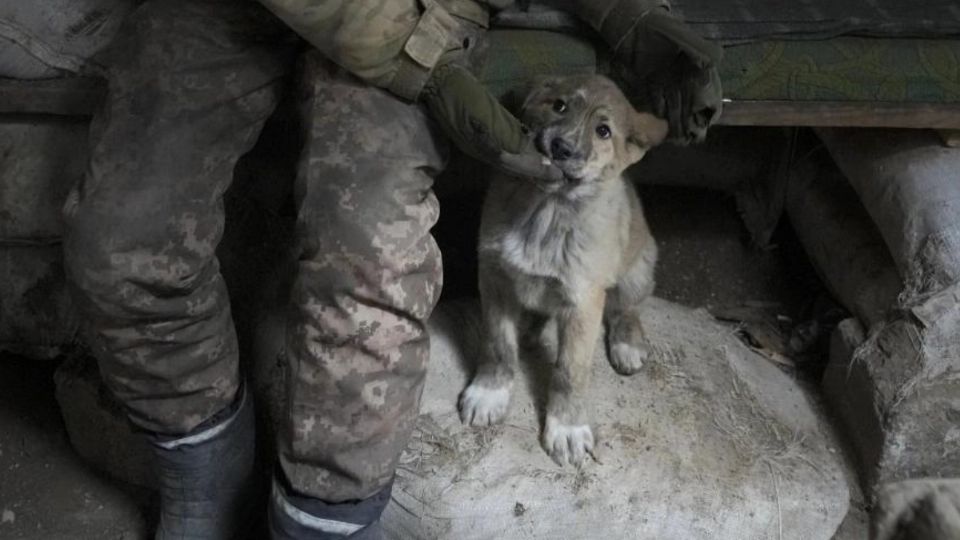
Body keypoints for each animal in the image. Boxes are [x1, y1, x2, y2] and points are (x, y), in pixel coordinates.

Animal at [462, 74, 664, 466]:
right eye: (559, 106)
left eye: (603, 131)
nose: (561, 148)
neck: (547, 208)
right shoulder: (494, 278)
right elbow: (497, 344)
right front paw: (490, 391)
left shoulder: (583, 301)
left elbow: (570, 371)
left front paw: (567, 427)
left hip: (638, 267)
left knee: (626, 308)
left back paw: (627, 343)